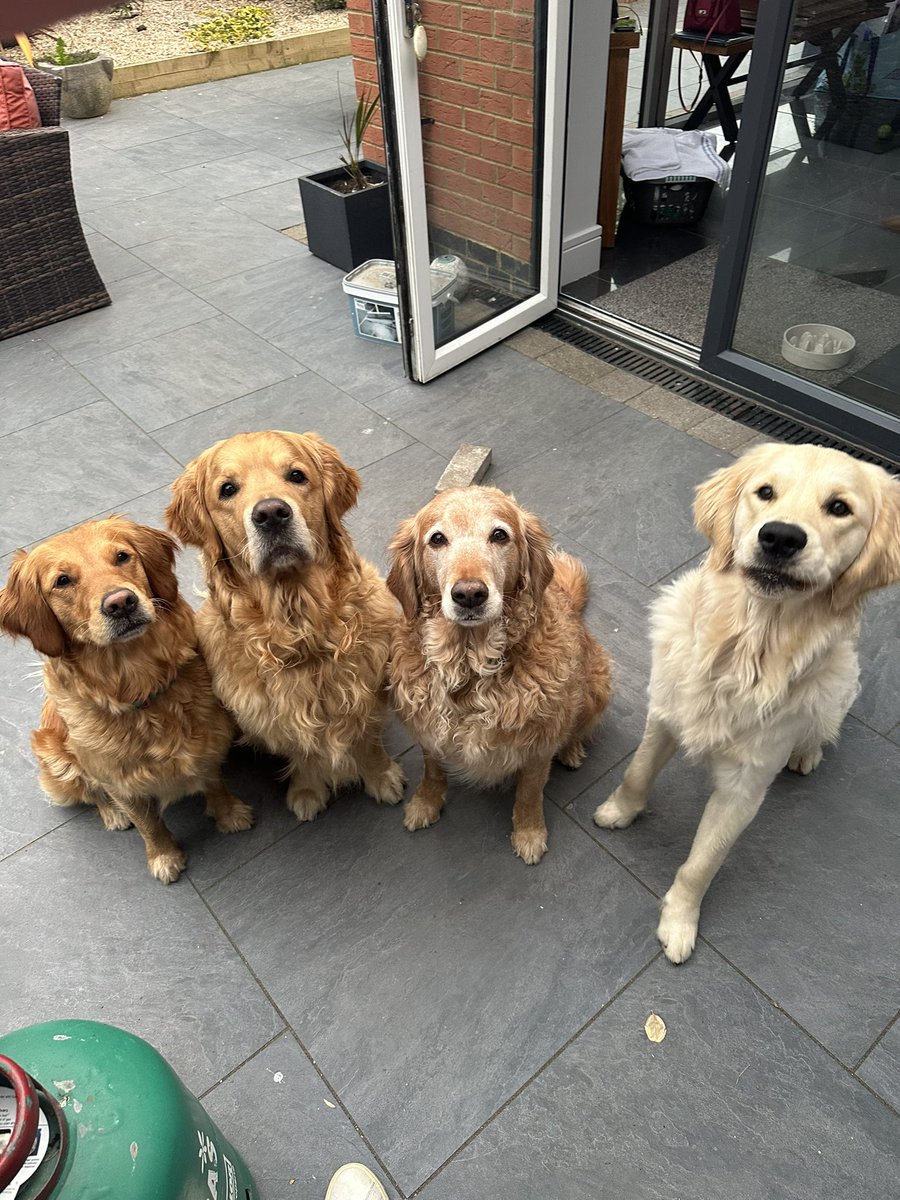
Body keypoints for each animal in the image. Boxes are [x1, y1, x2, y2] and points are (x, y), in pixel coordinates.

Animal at [0, 516, 252, 883]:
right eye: (62, 581)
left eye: (122, 556)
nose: (120, 602)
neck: (140, 687)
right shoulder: (120, 783)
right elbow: (149, 824)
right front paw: (164, 856)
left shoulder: (210, 741)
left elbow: (214, 783)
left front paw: (229, 813)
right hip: (56, 758)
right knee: (92, 793)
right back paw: (113, 815)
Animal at [168, 432, 408, 825]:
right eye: (227, 489)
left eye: (296, 475)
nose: (270, 514)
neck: (302, 628)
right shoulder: (275, 717)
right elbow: (302, 752)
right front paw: (307, 791)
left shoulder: (368, 692)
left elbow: (368, 740)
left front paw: (381, 775)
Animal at [388, 484, 614, 864]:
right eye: (437, 539)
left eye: (499, 535)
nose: (469, 595)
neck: (470, 665)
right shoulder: (429, 730)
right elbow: (433, 770)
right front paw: (425, 803)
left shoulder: (538, 747)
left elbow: (529, 794)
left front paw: (529, 833)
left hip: (598, 682)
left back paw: (570, 749)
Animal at [600, 446, 900, 960]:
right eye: (765, 492)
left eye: (839, 507)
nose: (781, 537)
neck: (746, 650)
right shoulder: (664, 714)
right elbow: (636, 772)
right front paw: (618, 812)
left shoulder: (746, 784)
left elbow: (703, 861)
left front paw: (680, 920)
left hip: (840, 682)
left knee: (823, 727)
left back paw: (807, 753)